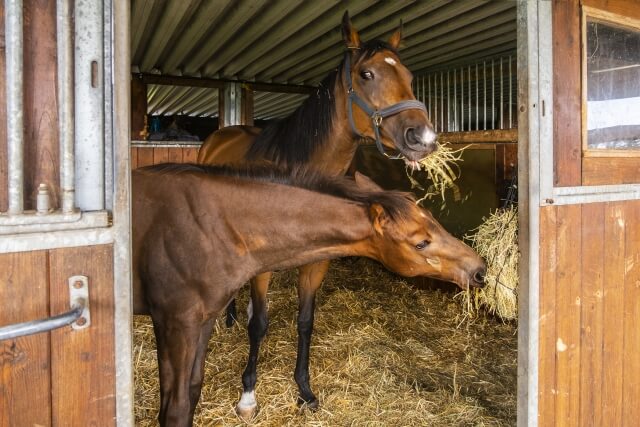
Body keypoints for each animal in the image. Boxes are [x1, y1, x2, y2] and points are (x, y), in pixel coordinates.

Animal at [134, 164, 484, 427]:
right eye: (421, 242)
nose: (480, 269)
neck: (215, 225)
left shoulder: (204, 320)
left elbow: (192, 392)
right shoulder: (175, 322)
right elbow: (176, 408)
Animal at [196, 11, 436, 414]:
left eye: (409, 75)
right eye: (366, 74)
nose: (424, 138)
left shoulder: (317, 263)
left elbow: (305, 321)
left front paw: (304, 390)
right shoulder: (263, 266)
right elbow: (260, 324)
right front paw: (248, 394)